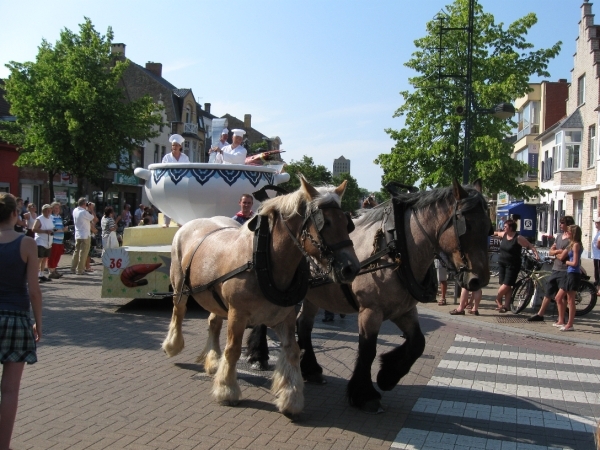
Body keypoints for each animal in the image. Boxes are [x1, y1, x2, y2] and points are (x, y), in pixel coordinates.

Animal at [161, 177, 360, 418]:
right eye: (326, 222)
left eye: (347, 223)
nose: (351, 268)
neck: (264, 260)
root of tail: (193, 222)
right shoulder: (237, 314)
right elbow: (233, 350)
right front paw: (226, 390)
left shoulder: (285, 316)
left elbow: (292, 351)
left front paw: (290, 397)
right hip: (180, 285)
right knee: (178, 311)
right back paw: (173, 345)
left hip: (215, 297)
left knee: (213, 322)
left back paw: (213, 360)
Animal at [247, 178, 492, 412]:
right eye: (466, 225)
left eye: (489, 227)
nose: (478, 280)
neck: (397, 245)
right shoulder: (370, 311)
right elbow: (368, 350)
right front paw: (364, 395)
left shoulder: (404, 310)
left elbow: (418, 343)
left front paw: (388, 375)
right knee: (266, 320)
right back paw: (258, 356)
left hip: (312, 297)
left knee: (303, 325)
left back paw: (312, 369)